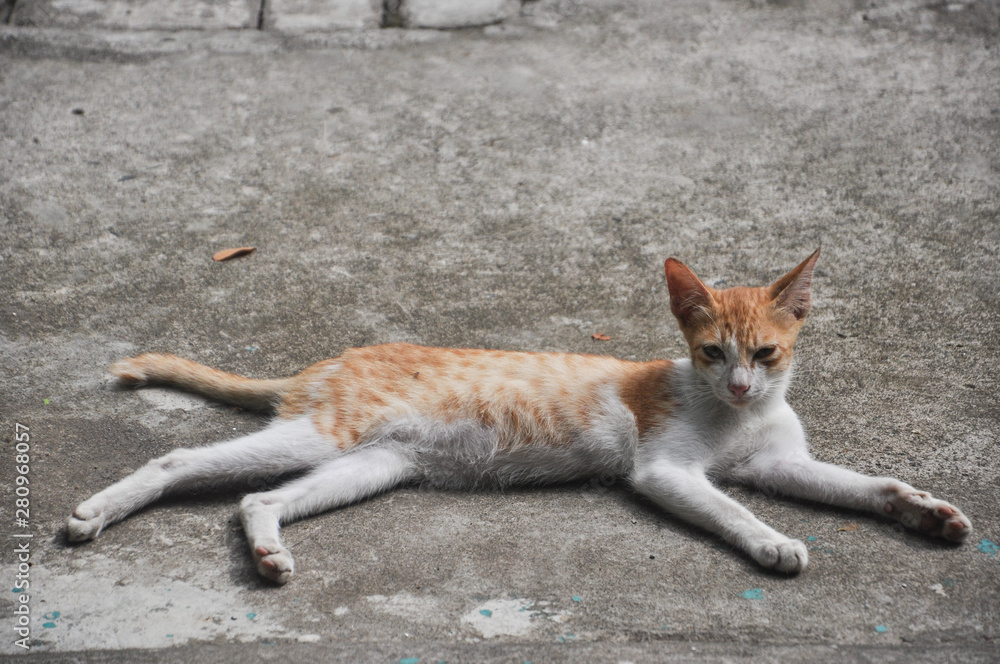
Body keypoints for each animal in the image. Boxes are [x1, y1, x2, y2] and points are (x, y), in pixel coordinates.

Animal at [66, 252, 972, 584]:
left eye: (768, 353)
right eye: (713, 352)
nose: (744, 387)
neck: (738, 420)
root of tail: (324, 362)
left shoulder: (780, 463)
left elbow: (863, 484)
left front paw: (924, 511)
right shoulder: (666, 470)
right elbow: (733, 509)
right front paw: (773, 543)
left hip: (369, 467)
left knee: (257, 500)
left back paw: (266, 551)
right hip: (320, 434)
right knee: (177, 462)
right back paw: (95, 513)